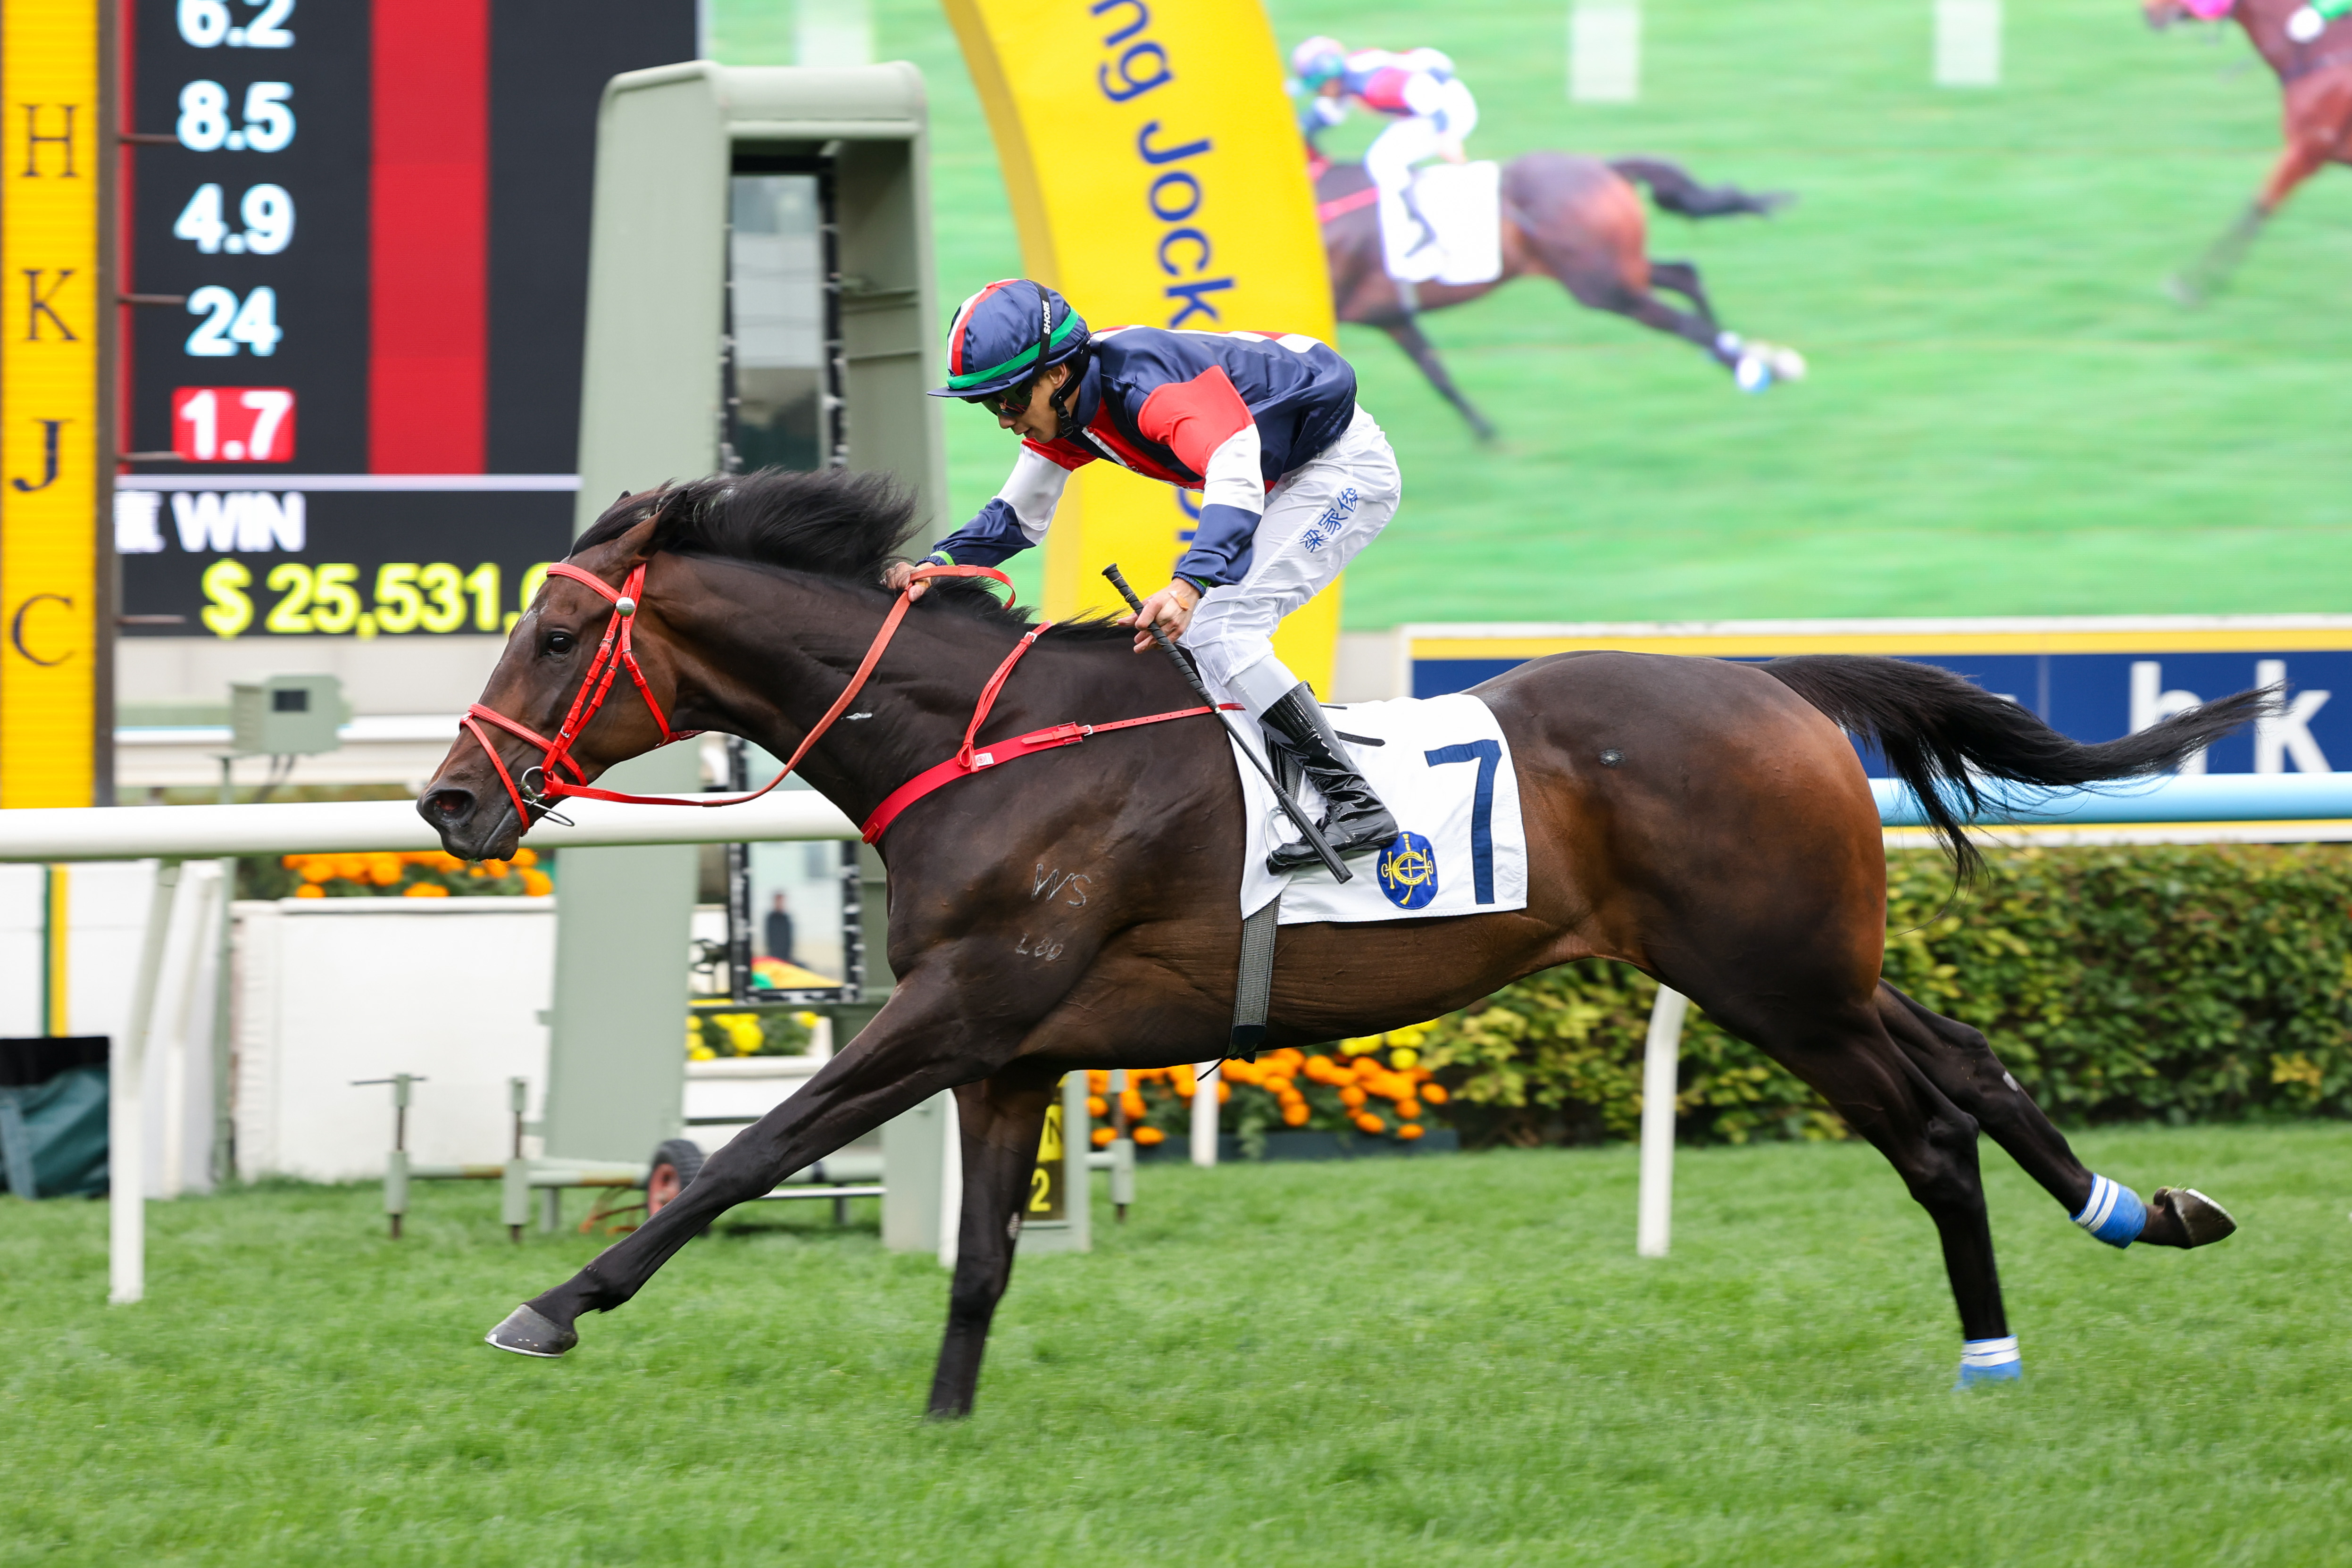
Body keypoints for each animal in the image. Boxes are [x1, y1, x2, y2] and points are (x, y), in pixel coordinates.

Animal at [419, 468, 2259, 1417]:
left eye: (561, 630)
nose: (448, 797)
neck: (990, 745)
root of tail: (1771, 681)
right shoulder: (1007, 1045)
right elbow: (980, 1255)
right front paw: (943, 1430)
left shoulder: (958, 1001)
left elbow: (756, 1151)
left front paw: (553, 1306)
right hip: (1809, 962)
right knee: (1978, 1065)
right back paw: (2142, 1209)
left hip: (1773, 980)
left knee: (1931, 1130)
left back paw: (1991, 1348)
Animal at [1315, 151, 1801, 440]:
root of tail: (1608, 167)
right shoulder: (1391, 316)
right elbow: (1438, 375)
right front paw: (1487, 434)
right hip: (1618, 271)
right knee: (1685, 276)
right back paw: (1747, 356)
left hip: (1603, 286)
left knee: (1686, 321)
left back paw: (1752, 368)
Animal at [2143, 0, 2352, 301]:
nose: (2147, 13)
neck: (2321, 50)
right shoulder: (2309, 153)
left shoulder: (2307, 150)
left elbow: (2258, 208)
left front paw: (2193, 286)